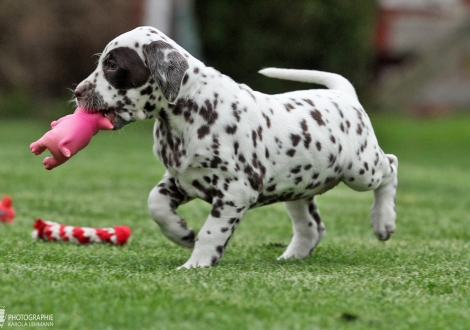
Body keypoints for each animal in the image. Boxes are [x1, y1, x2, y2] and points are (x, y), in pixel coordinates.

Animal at [75, 25, 398, 268]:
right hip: (298, 186)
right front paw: (181, 234)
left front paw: (196, 263)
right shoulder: (181, 179)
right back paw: (291, 256)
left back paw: (383, 222)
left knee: (390, 167)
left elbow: (211, 232)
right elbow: (155, 203)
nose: (77, 92)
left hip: (360, 170)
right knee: (311, 227)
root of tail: (345, 95)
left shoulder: (234, 191)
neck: (190, 111)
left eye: (113, 66)